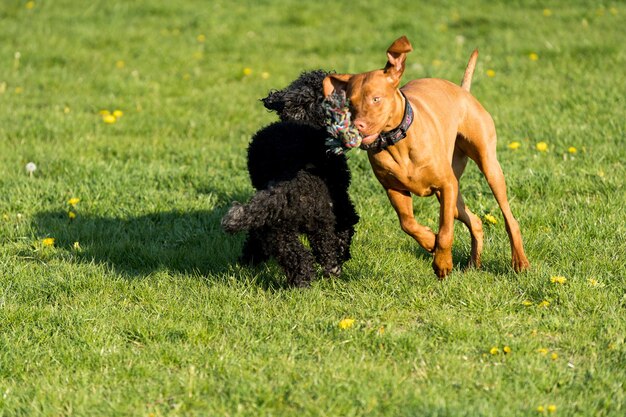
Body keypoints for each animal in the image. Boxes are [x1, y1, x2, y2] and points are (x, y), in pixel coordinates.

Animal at [322, 35, 528, 276]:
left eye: (376, 99)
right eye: (351, 103)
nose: (358, 126)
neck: (399, 142)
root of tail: (463, 92)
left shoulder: (447, 185)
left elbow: (446, 231)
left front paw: (442, 262)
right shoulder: (395, 190)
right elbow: (407, 223)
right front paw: (430, 240)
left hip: (488, 168)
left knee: (509, 218)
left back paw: (519, 262)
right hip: (453, 195)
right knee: (475, 221)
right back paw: (472, 264)